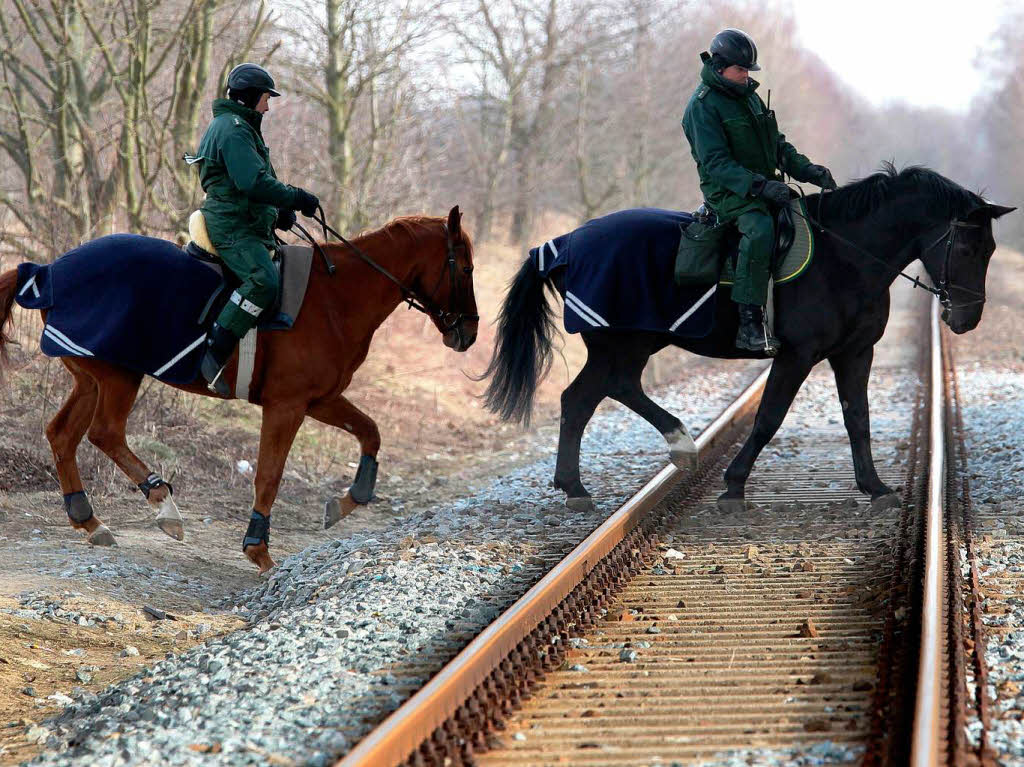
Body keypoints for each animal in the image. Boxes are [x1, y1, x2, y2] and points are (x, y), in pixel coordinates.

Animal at [0, 203, 475, 569]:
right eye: (466, 267)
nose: (468, 333)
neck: (337, 298)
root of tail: (48, 271)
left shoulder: (320, 400)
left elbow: (370, 432)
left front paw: (346, 502)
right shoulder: (287, 405)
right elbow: (269, 475)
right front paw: (258, 549)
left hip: (91, 379)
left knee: (62, 434)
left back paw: (89, 520)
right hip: (118, 376)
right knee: (105, 433)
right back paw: (164, 506)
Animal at [483, 167, 1011, 514]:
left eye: (990, 249)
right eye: (968, 247)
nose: (966, 319)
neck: (844, 257)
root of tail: (565, 243)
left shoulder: (855, 353)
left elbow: (857, 418)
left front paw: (875, 486)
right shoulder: (797, 355)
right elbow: (769, 417)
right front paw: (734, 485)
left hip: (635, 343)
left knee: (605, 391)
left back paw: (661, 452)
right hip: (621, 341)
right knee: (582, 399)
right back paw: (581, 485)